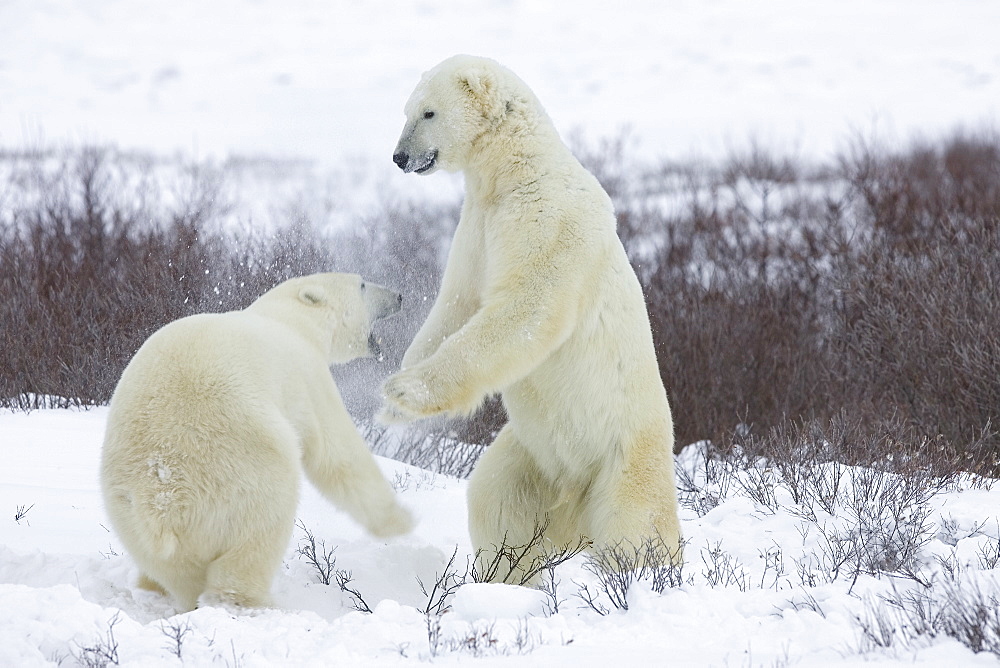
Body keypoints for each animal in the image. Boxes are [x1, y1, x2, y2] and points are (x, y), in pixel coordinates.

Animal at [101, 272, 414, 612]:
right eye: (361, 284)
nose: (399, 296)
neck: (291, 319)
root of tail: (159, 495)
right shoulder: (307, 376)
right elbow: (338, 453)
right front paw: (402, 521)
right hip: (243, 474)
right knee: (261, 530)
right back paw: (254, 603)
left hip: (127, 514)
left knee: (177, 571)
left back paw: (155, 586)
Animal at [386, 56, 684, 576]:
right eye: (408, 110)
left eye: (428, 112)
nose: (400, 157)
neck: (515, 169)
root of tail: (575, 499)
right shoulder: (477, 225)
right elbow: (457, 303)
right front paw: (394, 404)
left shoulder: (547, 218)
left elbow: (526, 308)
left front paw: (405, 390)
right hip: (533, 455)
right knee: (498, 500)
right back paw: (504, 575)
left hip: (623, 456)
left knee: (635, 529)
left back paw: (646, 574)